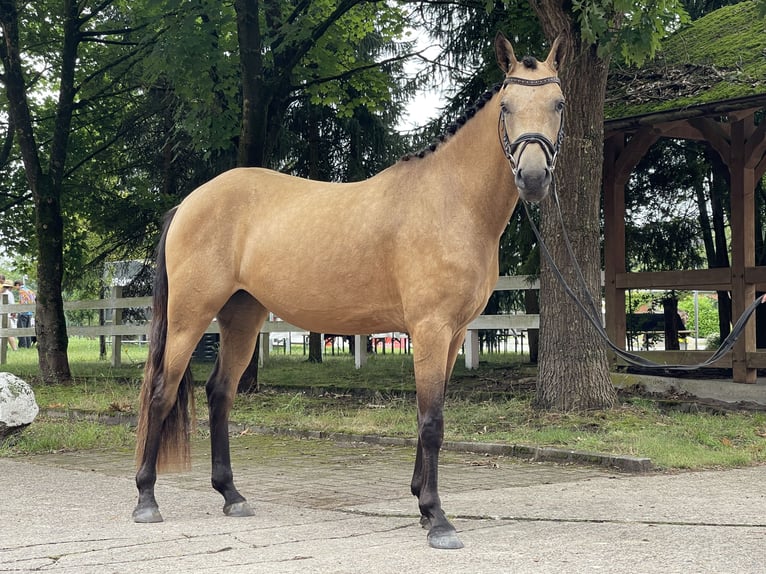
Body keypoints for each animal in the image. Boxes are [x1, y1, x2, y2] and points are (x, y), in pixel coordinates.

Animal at [133, 32, 565, 550]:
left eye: (559, 104)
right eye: (506, 106)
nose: (534, 178)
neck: (451, 201)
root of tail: (190, 201)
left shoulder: (456, 333)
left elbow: (430, 415)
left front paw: (422, 504)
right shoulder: (432, 328)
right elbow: (432, 422)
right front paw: (438, 519)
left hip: (243, 315)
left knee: (221, 392)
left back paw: (231, 495)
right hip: (190, 315)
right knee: (162, 391)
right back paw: (146, 499)